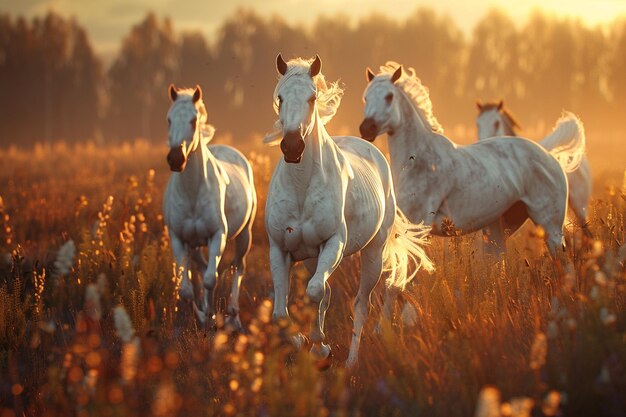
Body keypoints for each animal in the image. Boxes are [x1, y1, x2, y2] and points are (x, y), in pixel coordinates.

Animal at [165, 84, 258, 328]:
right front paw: (201, 317)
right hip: (195, 245)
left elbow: (210, 279)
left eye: (193, 120)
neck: (193, 192)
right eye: (169, 119)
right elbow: (187, 289)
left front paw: (211, 317)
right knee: (202, 266)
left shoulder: (218, 235)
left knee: (238, 267)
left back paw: (234, 316)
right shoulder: (179, 239)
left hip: (244, 234)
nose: (175, 159)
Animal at [260, 55, 432, 368]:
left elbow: (315, 292)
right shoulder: (280, 249)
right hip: (311, 258)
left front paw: (320, 348)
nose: (292, 147)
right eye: (280, 98)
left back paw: (351, 361)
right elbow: (281, 313)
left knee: (361, 304)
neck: (302, 187)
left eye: (312, 97)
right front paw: (303, 342)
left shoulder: (333, 243)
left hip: (373, 253)